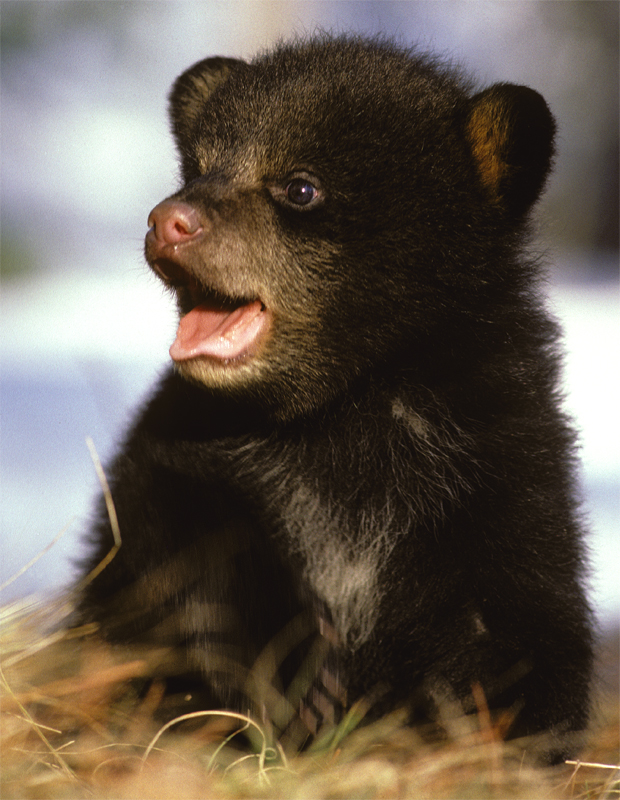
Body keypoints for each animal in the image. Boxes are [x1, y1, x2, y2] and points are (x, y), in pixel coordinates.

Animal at [78, 35, 593, 761]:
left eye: (300, 186)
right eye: (198, 168)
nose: (169, 220)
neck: (342, 408)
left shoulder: (496, 470)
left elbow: (520, 616)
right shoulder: (185, 453)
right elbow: (178, 554)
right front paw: (296, 674)